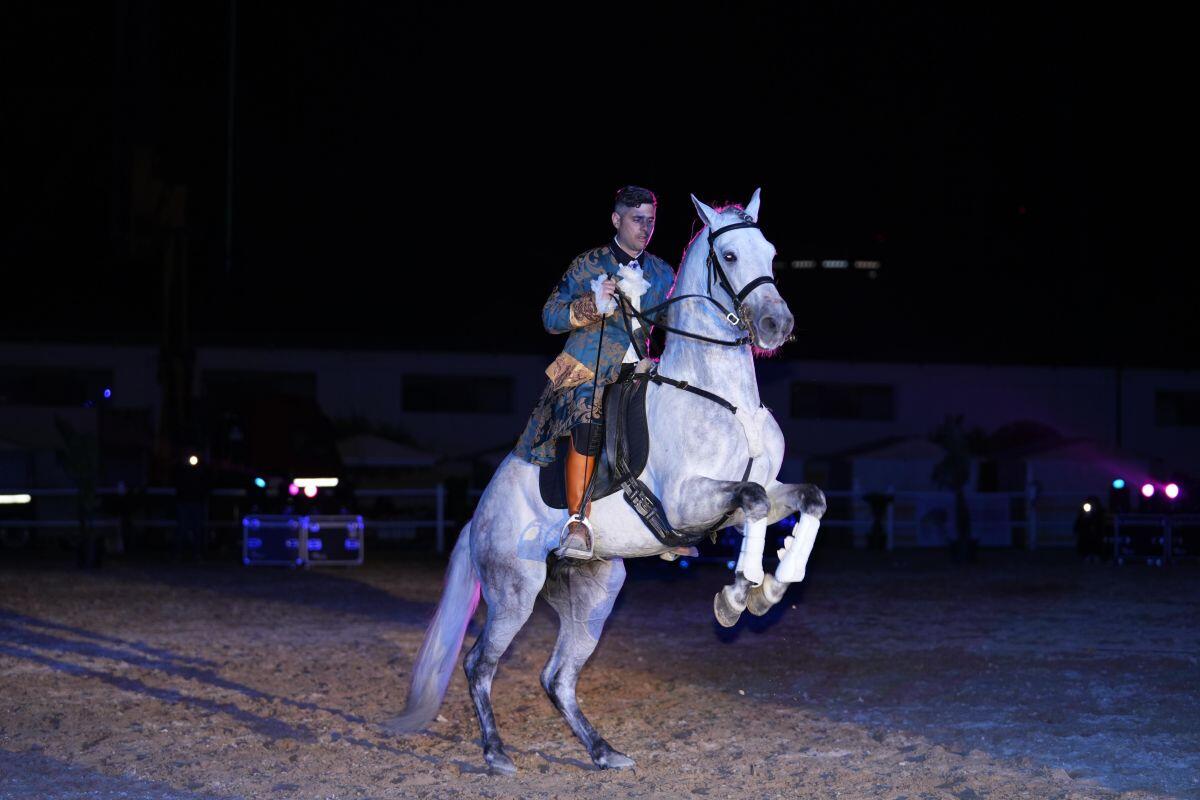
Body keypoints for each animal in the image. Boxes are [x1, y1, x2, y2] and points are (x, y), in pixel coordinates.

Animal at [384, 189, 828, 774]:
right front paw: (738, 597)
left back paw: (603, 751)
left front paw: (772, 587)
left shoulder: (756, 497)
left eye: (771, 252)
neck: (723, 399)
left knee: (557, 677)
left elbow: (808, 499)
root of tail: (480, 515)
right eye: (729, 256)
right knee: (480, 664)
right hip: (513, 591)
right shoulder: (687, 502)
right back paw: (497, 753)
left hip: (596, 593)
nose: (777, 324)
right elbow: (751, 501)